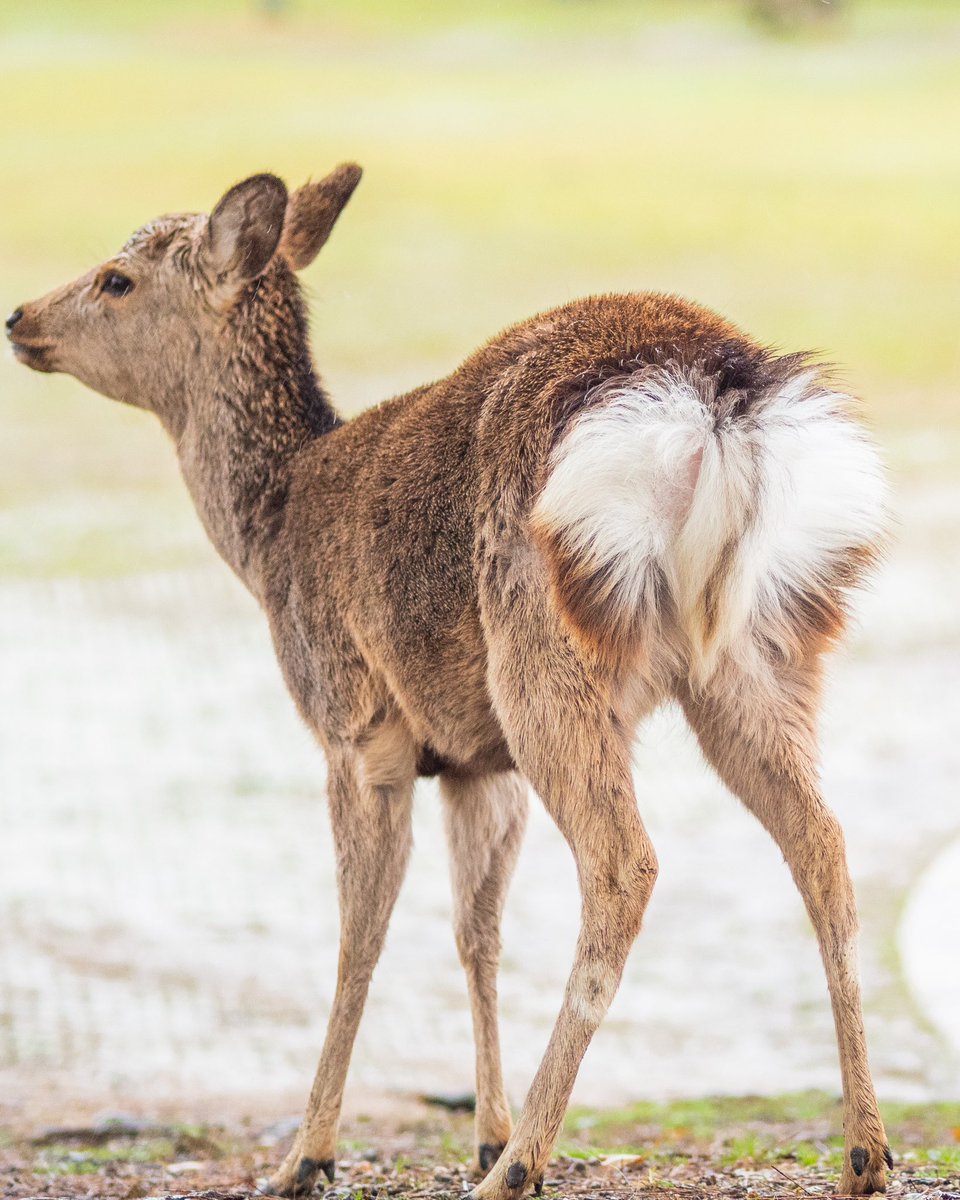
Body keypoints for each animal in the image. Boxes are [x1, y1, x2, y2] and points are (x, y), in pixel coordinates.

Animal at [6, 164, 892, 1198]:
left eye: (116, 279)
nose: (20, 317)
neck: (269, 532)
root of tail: (714, 397)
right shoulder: (477, 761)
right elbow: (478, 935)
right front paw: (479, 1126)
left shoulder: (355, 723)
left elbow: (360, 935)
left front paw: (308, 1156)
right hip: (764, 646)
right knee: (823, 845)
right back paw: (864, 1153)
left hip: (545, 648)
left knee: (624, 863)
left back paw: (520, 1166)